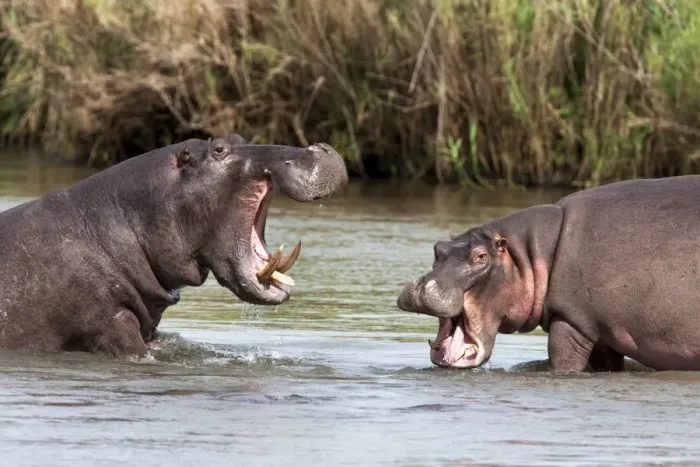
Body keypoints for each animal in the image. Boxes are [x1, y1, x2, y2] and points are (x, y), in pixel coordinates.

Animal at [397, 175, 700, 372]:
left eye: (481, 256)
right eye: (438, 248)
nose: (423, 286)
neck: (530, 253)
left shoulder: (571, 321)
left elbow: (562, 361)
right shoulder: (600, 331)